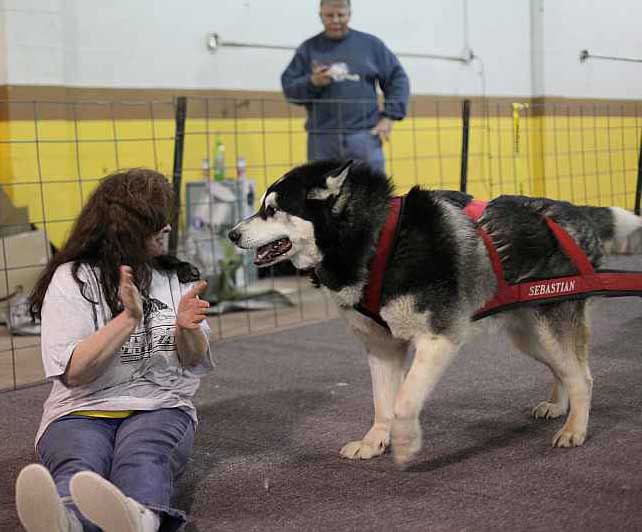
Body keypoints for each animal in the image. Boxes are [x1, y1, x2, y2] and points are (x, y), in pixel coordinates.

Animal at [229, 160, 640, 464]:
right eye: (262, 206)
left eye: (272, 209)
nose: (232, 234)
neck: (377, 241)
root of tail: (574, 211)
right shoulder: (382, 348)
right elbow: (382, 403)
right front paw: (375, 441)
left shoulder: (438, 338)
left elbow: (404, 401)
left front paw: (404, 442)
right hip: (529, 335)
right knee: (564, 370)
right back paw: (558, 406)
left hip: (549, 326)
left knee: (583, 377)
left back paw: (575, 428)